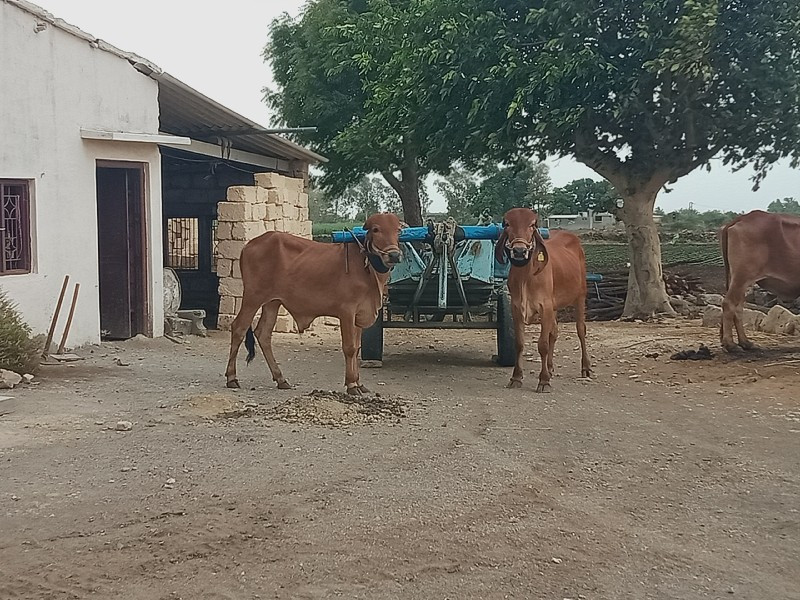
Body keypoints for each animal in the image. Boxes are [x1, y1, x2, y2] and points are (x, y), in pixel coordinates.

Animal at [223, 212, 400, 394]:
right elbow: (350, 348)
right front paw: (351, 384)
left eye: (398, 230)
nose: (394, 255)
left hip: (272, 302)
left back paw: (281, 379)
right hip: (253, 297)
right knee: (239, 328)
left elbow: (357, 348)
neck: (365, 266)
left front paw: (358, 383)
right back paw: (232, 377)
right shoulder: (346, 312)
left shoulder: (359, 314)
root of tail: (248, 245)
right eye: (376, 229)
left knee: (263, 334)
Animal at [496, 209, 592, 392]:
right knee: (554, 332)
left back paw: (585, 367)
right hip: (554, 306)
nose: (519, 251)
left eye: (532, 224)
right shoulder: (516, 307)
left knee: (581, 330)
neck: (526, 275)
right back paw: (550, 367)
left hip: (580, 296)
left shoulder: (544, 306)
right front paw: (516, 377)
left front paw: (544, 381)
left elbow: (543, 344)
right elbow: (519, 343)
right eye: (507, 224)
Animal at [720, 210, 800, 352]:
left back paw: (745, 342)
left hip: (741, 281)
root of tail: (743, 217)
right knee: (729, 304)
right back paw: (730, 344)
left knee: (738, 308)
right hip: (741, 277)